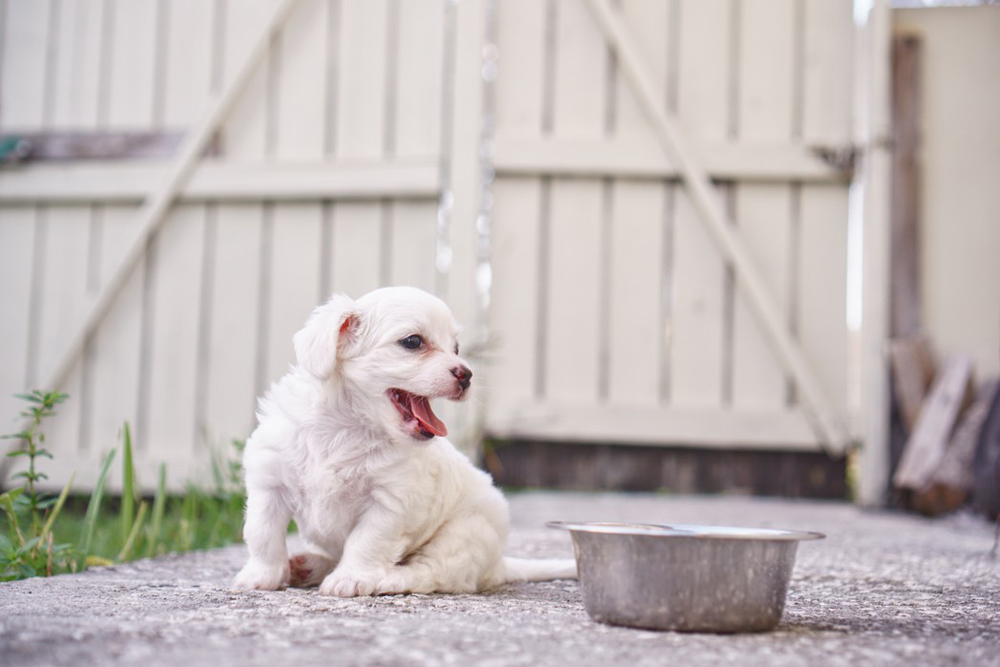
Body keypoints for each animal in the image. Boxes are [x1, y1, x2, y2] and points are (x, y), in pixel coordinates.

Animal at [234, 284, 576, 596]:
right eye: (412, 342)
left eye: (455, 347)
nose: (466, 375)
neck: (345, 429)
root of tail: (498, 564)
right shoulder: (269, 484)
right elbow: (262, 534)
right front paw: (261, 576)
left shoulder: (389, 503)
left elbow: (366, 542)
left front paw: (352, 578)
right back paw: (309, 565)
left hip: (463, 535)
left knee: (430, 573)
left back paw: (383, 579)